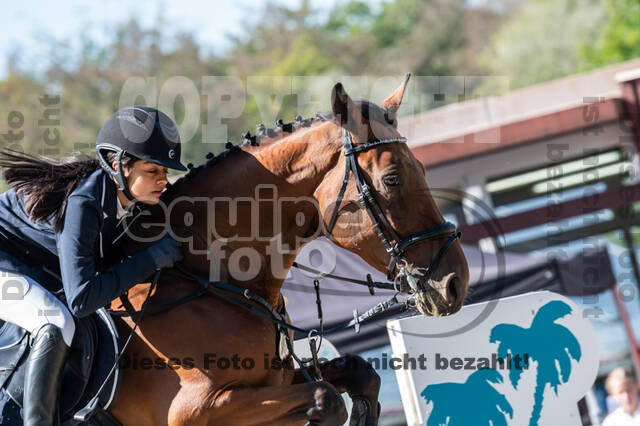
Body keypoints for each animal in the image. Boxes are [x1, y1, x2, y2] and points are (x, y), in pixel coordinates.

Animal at [109, 75, 470, 424]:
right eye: (392, 179)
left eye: (422, 169)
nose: (456, 282)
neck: (209, 282)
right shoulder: (195, 409)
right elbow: (327, 400)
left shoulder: (279, 381)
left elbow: (358, 373)